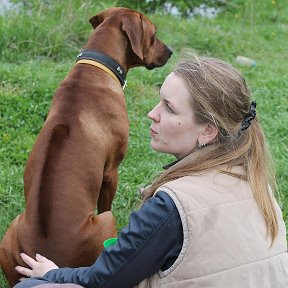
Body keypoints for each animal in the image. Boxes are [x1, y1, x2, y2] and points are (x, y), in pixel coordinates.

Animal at [0, 7, 171, 286]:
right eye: (154, 34)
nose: (171, 51)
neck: (94, 68)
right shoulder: (111, 172)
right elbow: (107, 198)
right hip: (105, 222)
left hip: (12, 228)